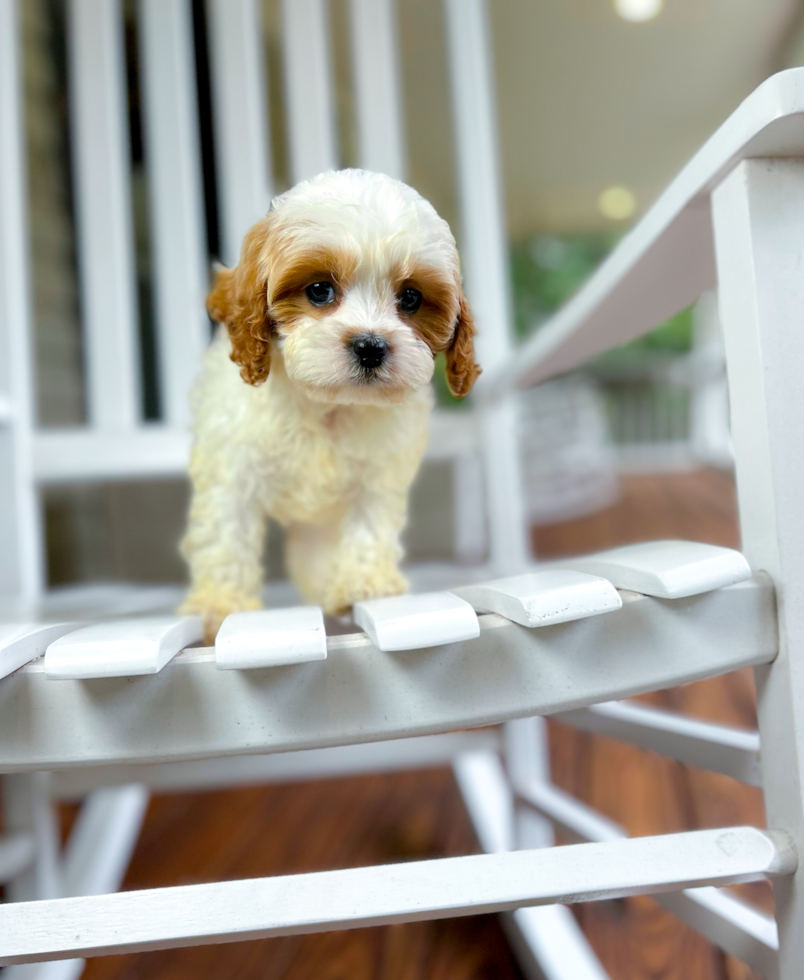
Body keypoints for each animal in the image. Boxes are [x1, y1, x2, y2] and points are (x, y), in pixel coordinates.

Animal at [182, 168, 480, 644]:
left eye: (411, 299)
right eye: (320, 290)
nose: (371, 346)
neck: (325, 404)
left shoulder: (379, 474)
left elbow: (368, 523)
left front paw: (365, 583)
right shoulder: (232, 470)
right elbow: (227, 535)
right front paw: (219, 605)